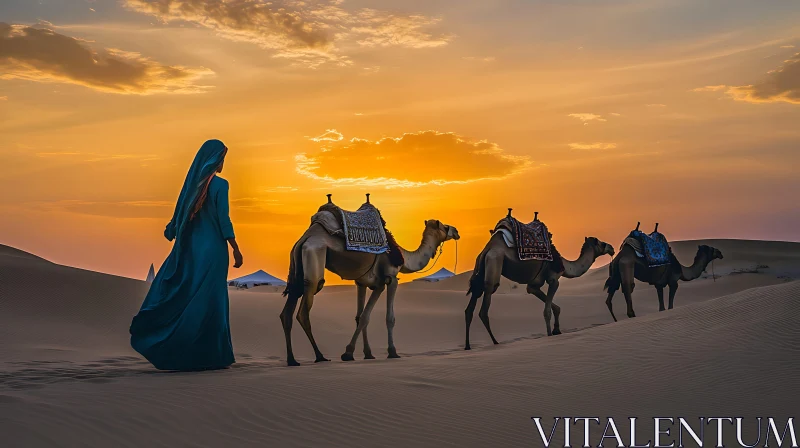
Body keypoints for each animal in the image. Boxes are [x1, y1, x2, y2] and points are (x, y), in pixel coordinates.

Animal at [280, 194, 456, 366]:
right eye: (444, 226)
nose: (456, 231)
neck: (403, 257)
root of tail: (306, 237)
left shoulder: (362, 282)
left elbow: (360, 317)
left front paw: (367, 354)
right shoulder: (388, 280)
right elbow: (382, 318)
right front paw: (387, 352)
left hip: (297, 267)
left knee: (286, 312)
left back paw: (292, 360)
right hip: (314, 256)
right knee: (304, 310)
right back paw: (319, 356)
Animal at [466, 210, 616, 350]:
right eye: (601, 243)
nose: (612, 248)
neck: (565, 265)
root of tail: (488, 248)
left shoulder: (533, 285)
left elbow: (556, 308)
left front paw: (557, 330)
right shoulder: (554, 279)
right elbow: (547, 311)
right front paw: (550, 335)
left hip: (480, 268)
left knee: (471, 306)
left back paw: (468, 346)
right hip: (494, 261)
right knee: (484, 307)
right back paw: (495, 342)